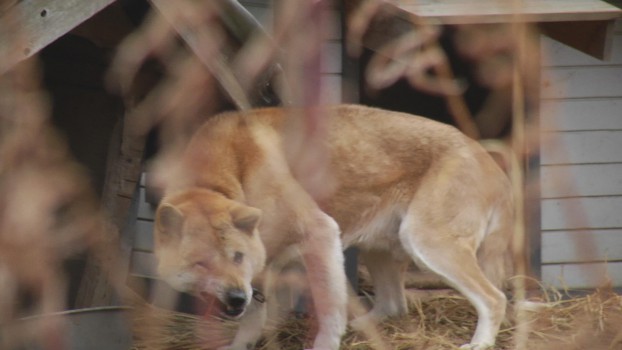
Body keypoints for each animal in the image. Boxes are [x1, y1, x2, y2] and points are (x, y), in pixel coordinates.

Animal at [154, 104, 516, 350]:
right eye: (201, 263)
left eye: (237, 256)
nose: (235, 297)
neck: (229, 176)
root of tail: (494, 165)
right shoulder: (264, 270)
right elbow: (255, 319)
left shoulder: (320, 233)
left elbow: (328, 310)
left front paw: (324, 344)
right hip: (379, 247)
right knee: (394, 305)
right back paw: (365, 329)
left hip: (426, 243)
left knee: (494, 299)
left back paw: (480, 343)